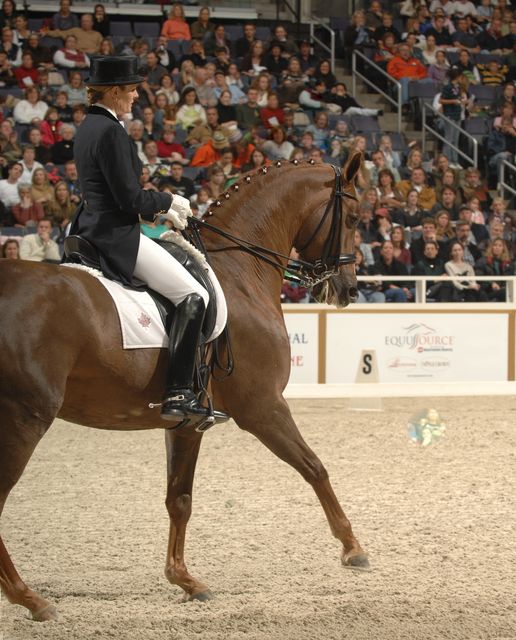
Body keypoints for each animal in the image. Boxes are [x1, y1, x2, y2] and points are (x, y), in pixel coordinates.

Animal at [1, 155, 370, 620]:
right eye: (354, 218)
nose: (347, 288)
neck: (238, 273)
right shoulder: (264, 407)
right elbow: (314, 467)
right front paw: (353, 548)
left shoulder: (187, 423)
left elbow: (179, 499)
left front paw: (185, 580)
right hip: (23, 420)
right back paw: (29, 598)